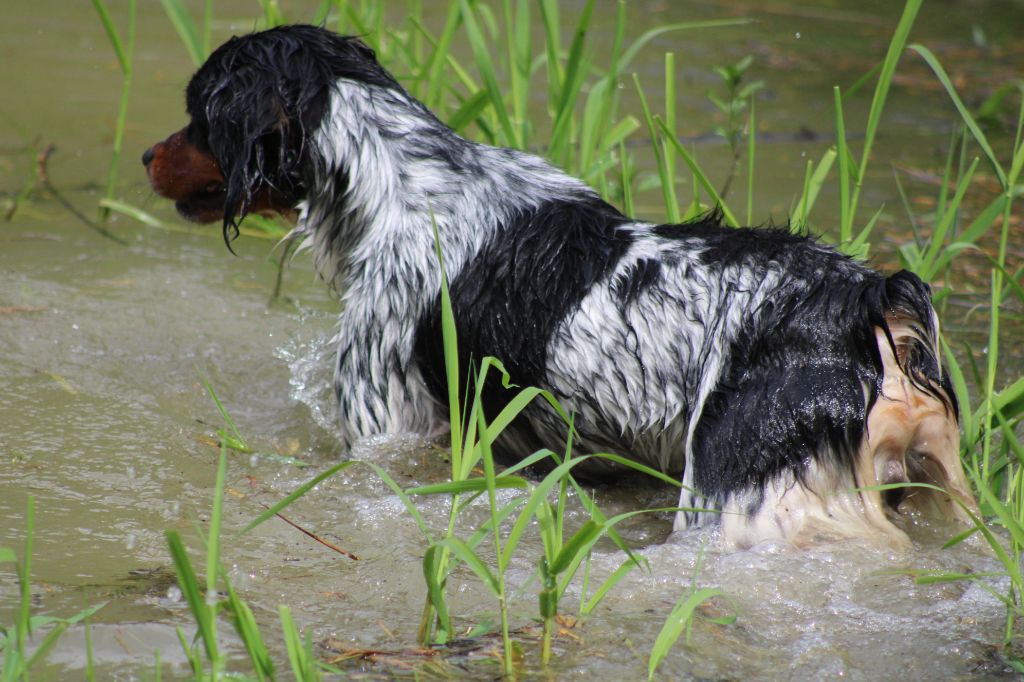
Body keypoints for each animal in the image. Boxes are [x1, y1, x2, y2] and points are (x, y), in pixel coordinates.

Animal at [142, 25, 974, 548]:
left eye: (196, 114)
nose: (148, 154)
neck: (400, 178)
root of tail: (862, 305)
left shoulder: (387, 428)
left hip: (731, 494)